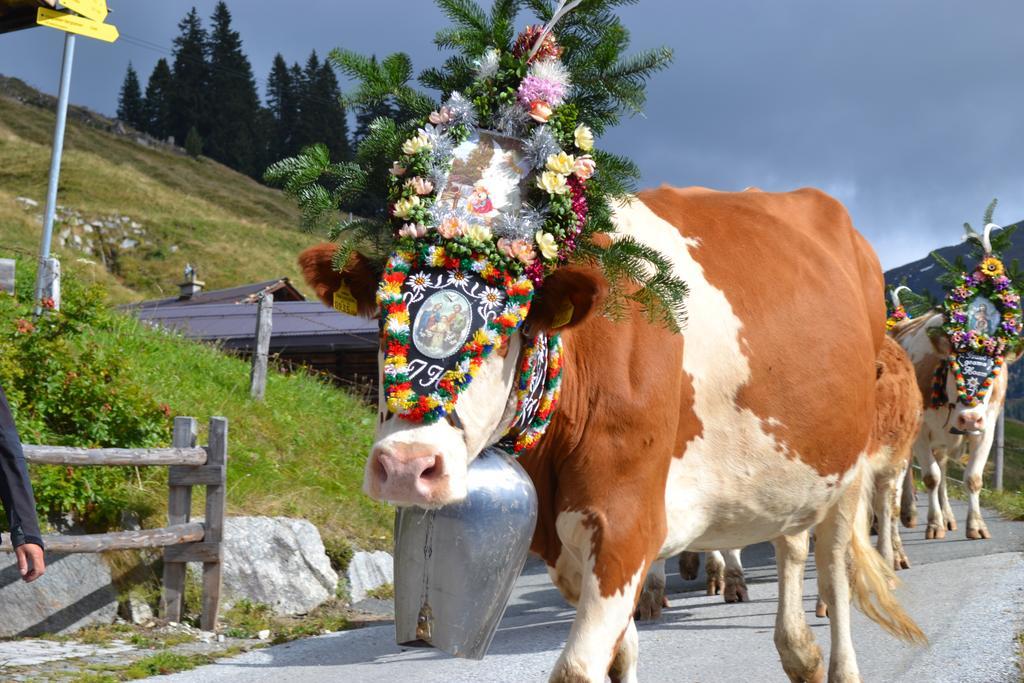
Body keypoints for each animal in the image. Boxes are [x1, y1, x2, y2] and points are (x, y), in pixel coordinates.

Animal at [299, 187, 925, 683]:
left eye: (505, 328)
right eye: (382, 321)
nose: (406, 466)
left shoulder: (627, 525)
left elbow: (578, 668)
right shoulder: (569, 550)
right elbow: (620, 658)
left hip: (849, 470)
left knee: (836, 571)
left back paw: (836, 660)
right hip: (788, 469)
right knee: (791, 545)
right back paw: (799, 653)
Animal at [892, 313, 1011, 540]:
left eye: (990, 379)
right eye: (954, 374)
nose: (970, 419)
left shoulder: (985, 431)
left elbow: (973, 478)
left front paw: (976, 526)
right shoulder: (921, 433)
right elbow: (931, 477)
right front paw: (934, 524)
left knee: (942, 467)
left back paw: (947, 516)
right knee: (908, 465)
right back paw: (909, 513)